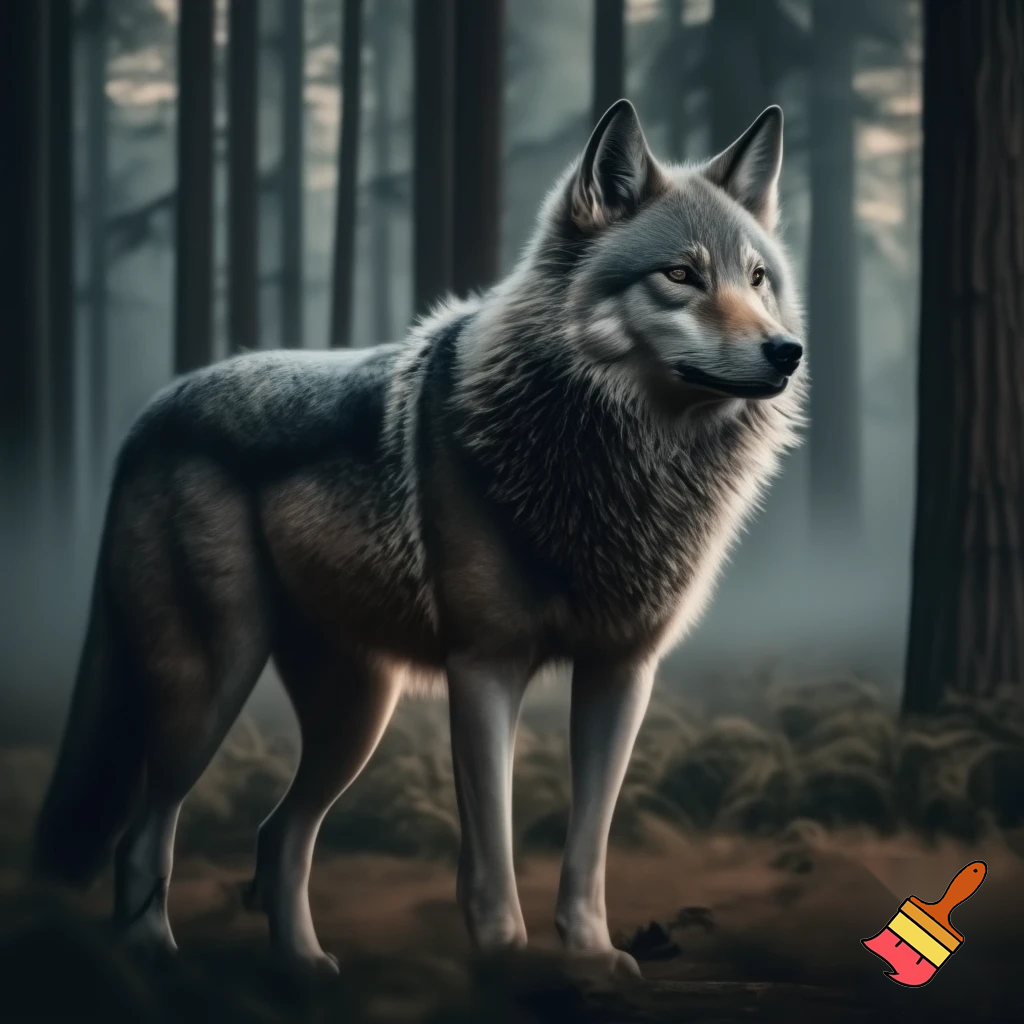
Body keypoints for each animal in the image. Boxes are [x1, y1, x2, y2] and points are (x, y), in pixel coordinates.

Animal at [34, 100, 805, 978]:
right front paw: (504, 956)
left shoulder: (622, 673)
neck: (618, 465)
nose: (787, 350)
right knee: (143, 835)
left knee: (278, 837)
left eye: (758, 279)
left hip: (355, 715)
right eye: (680, 275)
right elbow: (492, 845)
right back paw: (157, 962)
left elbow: (587, 845)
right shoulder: (485, 668)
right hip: (210, 689)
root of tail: (151, 413)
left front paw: (590, 954)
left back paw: (305, 969)